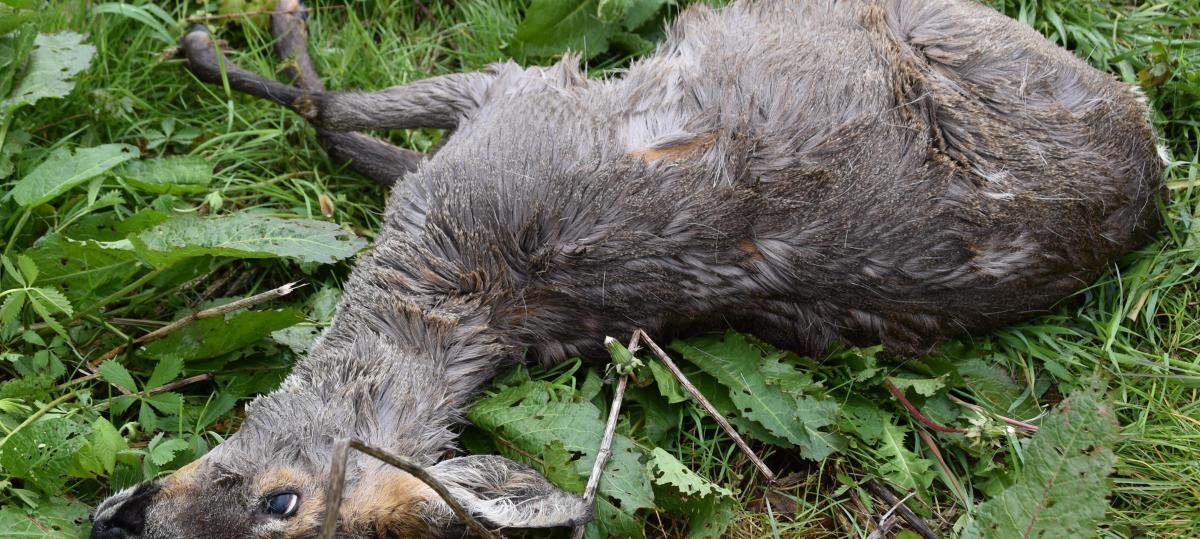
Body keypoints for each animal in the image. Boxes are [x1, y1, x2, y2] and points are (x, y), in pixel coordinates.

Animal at [90, 0, 1162, 537]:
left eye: (284, 501)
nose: (120, 520)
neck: (462, 281)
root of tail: (1154, 175)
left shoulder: (515, 95)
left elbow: (330, 110)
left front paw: (219, 38)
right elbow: (351, 133)